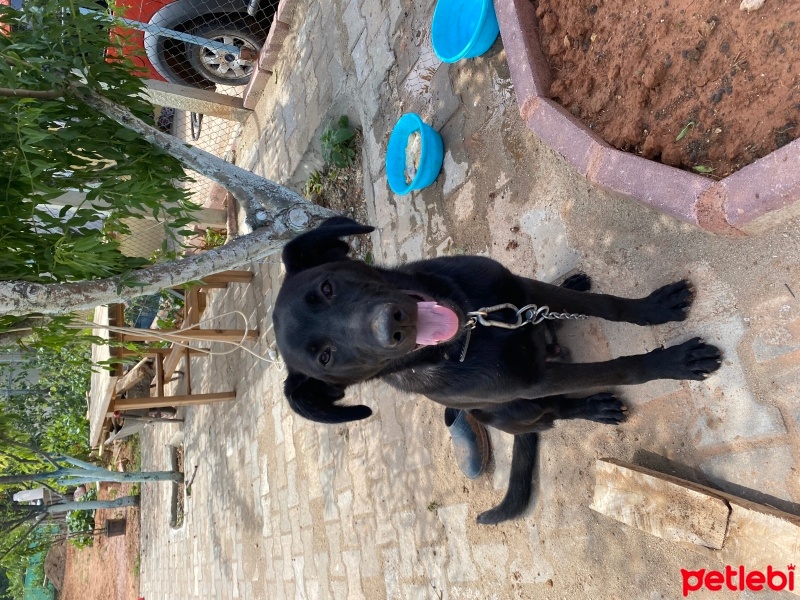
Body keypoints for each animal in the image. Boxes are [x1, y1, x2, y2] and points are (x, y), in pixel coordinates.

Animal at [272, 218, 720, 524]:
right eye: (326, 358)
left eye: (328, 288)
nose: (392, 326)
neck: (473, 330)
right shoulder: (537, 380)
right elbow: (622, 369)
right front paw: (672, 362)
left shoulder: (524, 293)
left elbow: (609, 305)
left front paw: (653, 308)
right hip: (515, 408)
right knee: (553, 414)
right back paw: (592, 407)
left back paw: (571, 286)